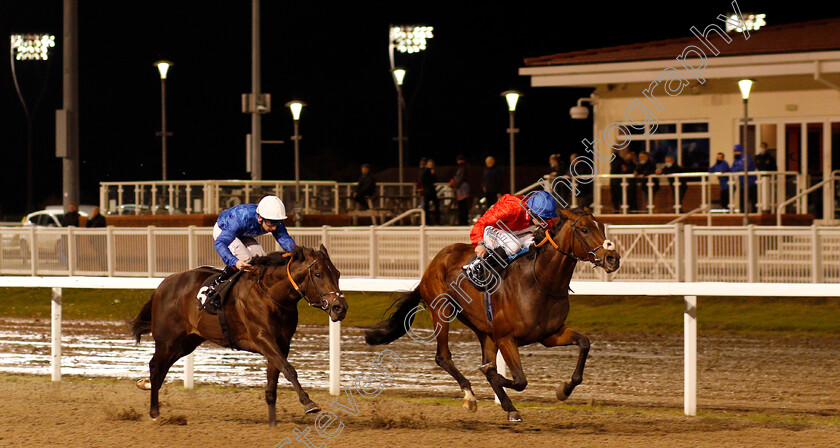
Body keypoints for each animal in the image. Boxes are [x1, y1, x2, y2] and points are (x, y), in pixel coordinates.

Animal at [130, 245, 346, 428]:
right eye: (318, 274)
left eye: (337, 273)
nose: (340, 308)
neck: (272, 295)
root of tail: (162, 285)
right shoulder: (262, 338)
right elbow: (289, 369)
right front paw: (309, 403)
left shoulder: (281, 343)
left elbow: (273, 380)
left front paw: (273, 424)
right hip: (167, 341)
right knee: (156, 367)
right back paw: (154, 413)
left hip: (186, 343)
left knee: (161, 368)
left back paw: (146, 385)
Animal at [364, 206, 620, 420]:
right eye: (584, 229)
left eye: (601, 227)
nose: (613, 258)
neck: (539, 280)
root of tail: (433, 263)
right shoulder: (506, 337)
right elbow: (519, 380)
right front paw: (492, 379)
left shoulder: (550, 334)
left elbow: (584, 344)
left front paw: (563, 390)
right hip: (441, 310)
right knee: (443, 357)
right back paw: (470, 396)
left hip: (483, 330)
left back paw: (509, 407)